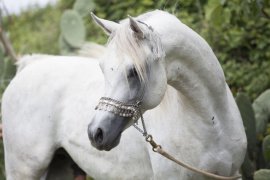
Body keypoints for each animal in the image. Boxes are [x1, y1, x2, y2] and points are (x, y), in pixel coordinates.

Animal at [1, 10, 247, 180]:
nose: (95, 133)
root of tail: (28, 65)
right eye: (102, 68)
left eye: (133, 72)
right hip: (24, 170)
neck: (212, 124)